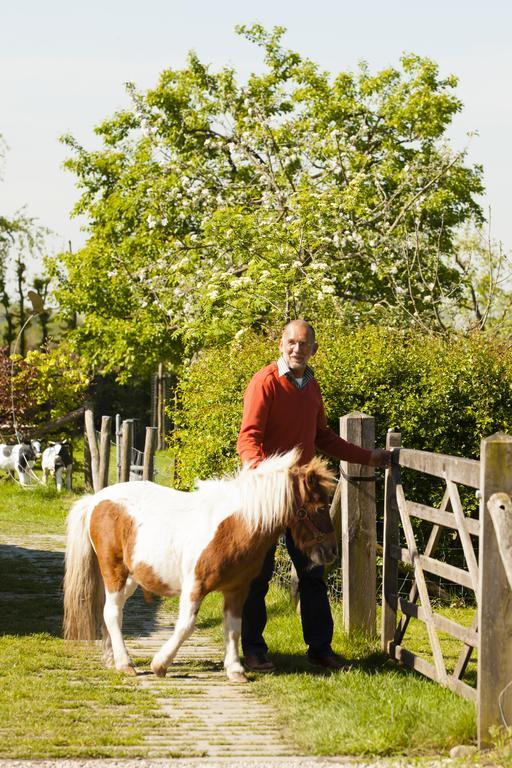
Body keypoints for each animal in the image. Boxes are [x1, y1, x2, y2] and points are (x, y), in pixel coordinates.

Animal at [63, 450, 336, 684]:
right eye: (321, 507)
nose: (331, 551)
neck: (234, 527)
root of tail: (95, 500)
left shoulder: (237, 590)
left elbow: (233, 628)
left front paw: (235, 670)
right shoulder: (195, 586)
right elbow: (186, 626)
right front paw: (160, 664)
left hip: (130, 577)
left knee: (109, 612)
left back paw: (112, 659)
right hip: (115, 571)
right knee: (112, 613)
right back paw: (125, 663)